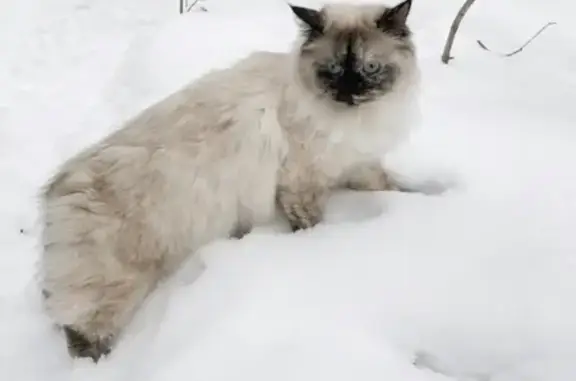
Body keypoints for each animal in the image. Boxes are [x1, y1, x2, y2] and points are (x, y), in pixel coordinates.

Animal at [38, 0, 420, 360]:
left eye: (370, 68)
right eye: (334, 71)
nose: (350, 93)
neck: (354, 120)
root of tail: (58, 186)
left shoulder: (358, 164)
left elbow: (388, 186)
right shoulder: (302, 184)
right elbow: (311, 225)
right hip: (118, 291)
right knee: (82, 335)